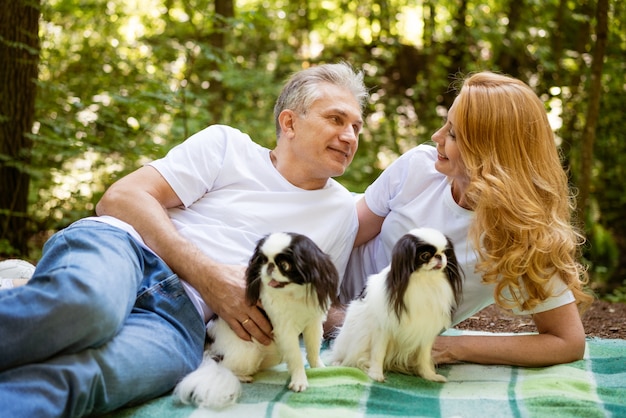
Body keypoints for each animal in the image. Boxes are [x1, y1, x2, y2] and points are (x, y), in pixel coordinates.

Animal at [173, 232, 338, 412]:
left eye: (285, 265)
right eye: (262, 260)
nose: (269, 266)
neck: (293, 295)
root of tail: (209, 350)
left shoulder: (313, 323)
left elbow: (313, 349)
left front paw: (318, 368)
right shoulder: (285, 331)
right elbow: (296, 357)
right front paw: (299, 381)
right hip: (249, 353)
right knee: (225, 367)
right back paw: (243, 377)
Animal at [330, 227, 460, 384]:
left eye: (445, 252)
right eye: (425, 255)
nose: (439, 257)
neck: (424, 281)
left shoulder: (425, 331)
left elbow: (423, 357)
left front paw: (429, 375)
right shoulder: (383, 329)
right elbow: (378, 353)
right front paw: (376, 374)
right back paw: (337, 363)